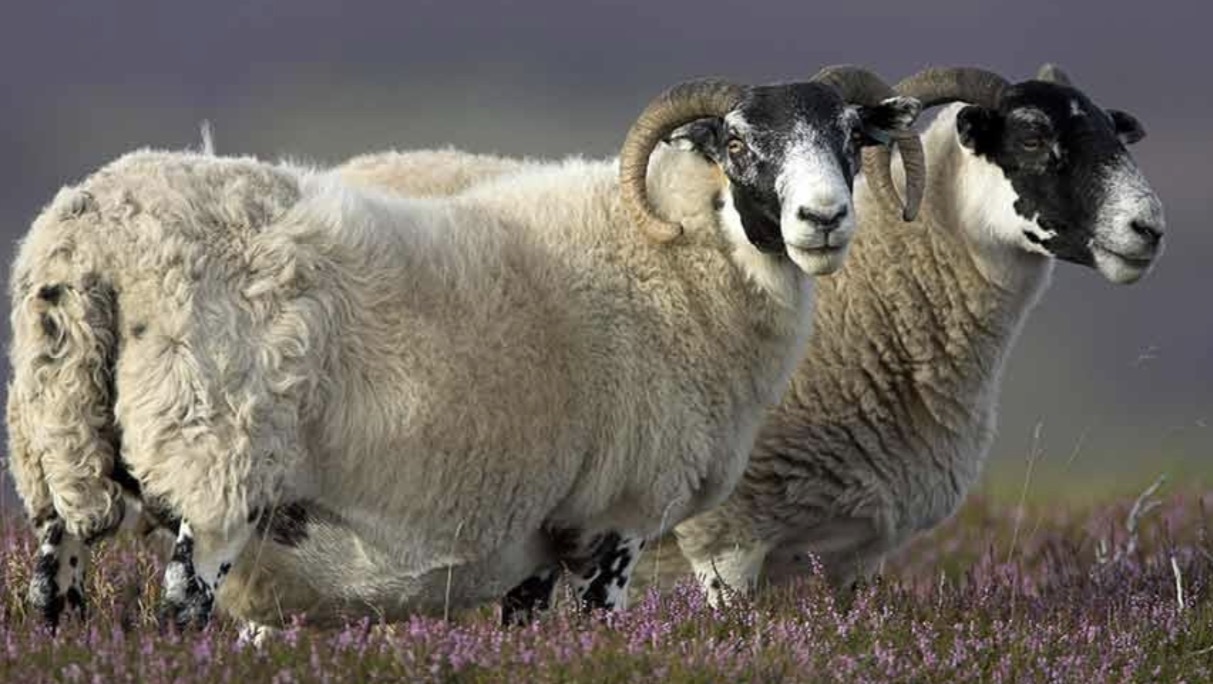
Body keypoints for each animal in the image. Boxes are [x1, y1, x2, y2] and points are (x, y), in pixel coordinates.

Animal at [8, 69, 926, 629]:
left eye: (851, 137)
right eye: (736, 144)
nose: (822, 219)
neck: (678, 255)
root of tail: (89, 236)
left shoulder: (538, 529)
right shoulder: (618, 516)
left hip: (53, 452)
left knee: (56, 595)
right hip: (214, 465)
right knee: (181, 609)